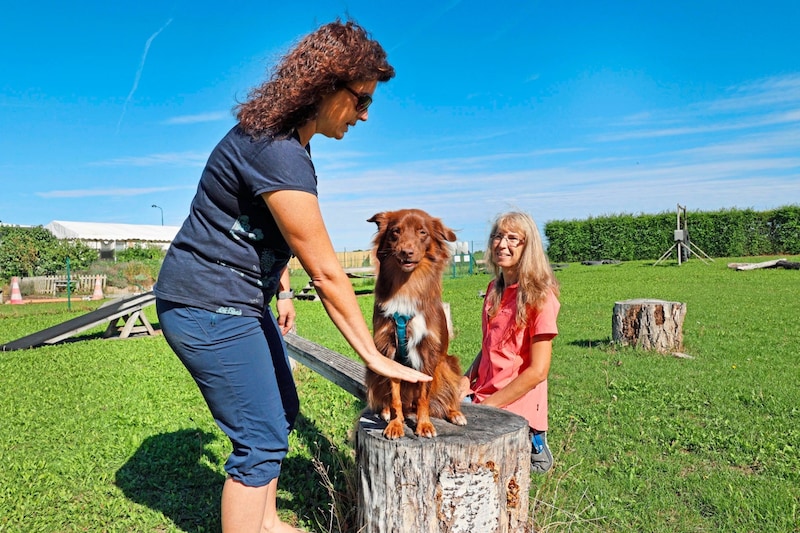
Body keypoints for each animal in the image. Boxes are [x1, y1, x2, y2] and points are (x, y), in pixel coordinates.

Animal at [366, 208, 466, 436]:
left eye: (422, 232)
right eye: (395, 231)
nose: (406, 252)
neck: (407, 284)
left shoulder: (429, 351)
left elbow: (424, 396)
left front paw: (424, 424)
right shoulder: (388, 350)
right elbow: (394, 395)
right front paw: (396, 423)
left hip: (447, 364)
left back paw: (454, 413)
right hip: (373, 368)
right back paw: (386, 412)